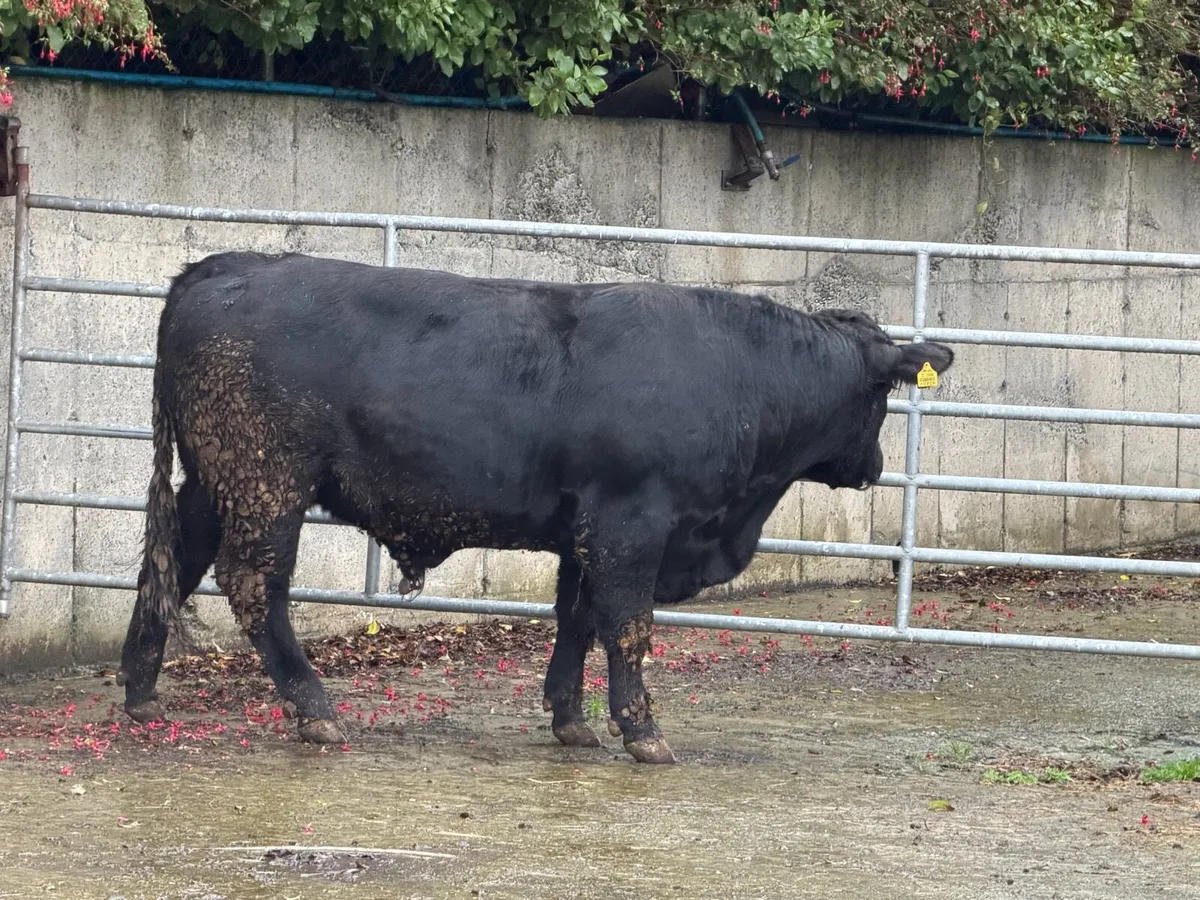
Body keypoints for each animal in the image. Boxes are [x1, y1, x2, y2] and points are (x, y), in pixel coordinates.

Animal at [116, 251, 953, 764]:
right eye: (882, 395)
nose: (877, 467)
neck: (738, 373)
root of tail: (222, 266)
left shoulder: (586, 526)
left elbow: (576, 618)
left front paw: (570, 718)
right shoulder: (630, 524)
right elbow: (627, 626)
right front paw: (642, 729)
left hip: (214, 481)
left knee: (171, 564)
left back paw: (140, 690)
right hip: (266, 481)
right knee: (254, 585)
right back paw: (313, 706)